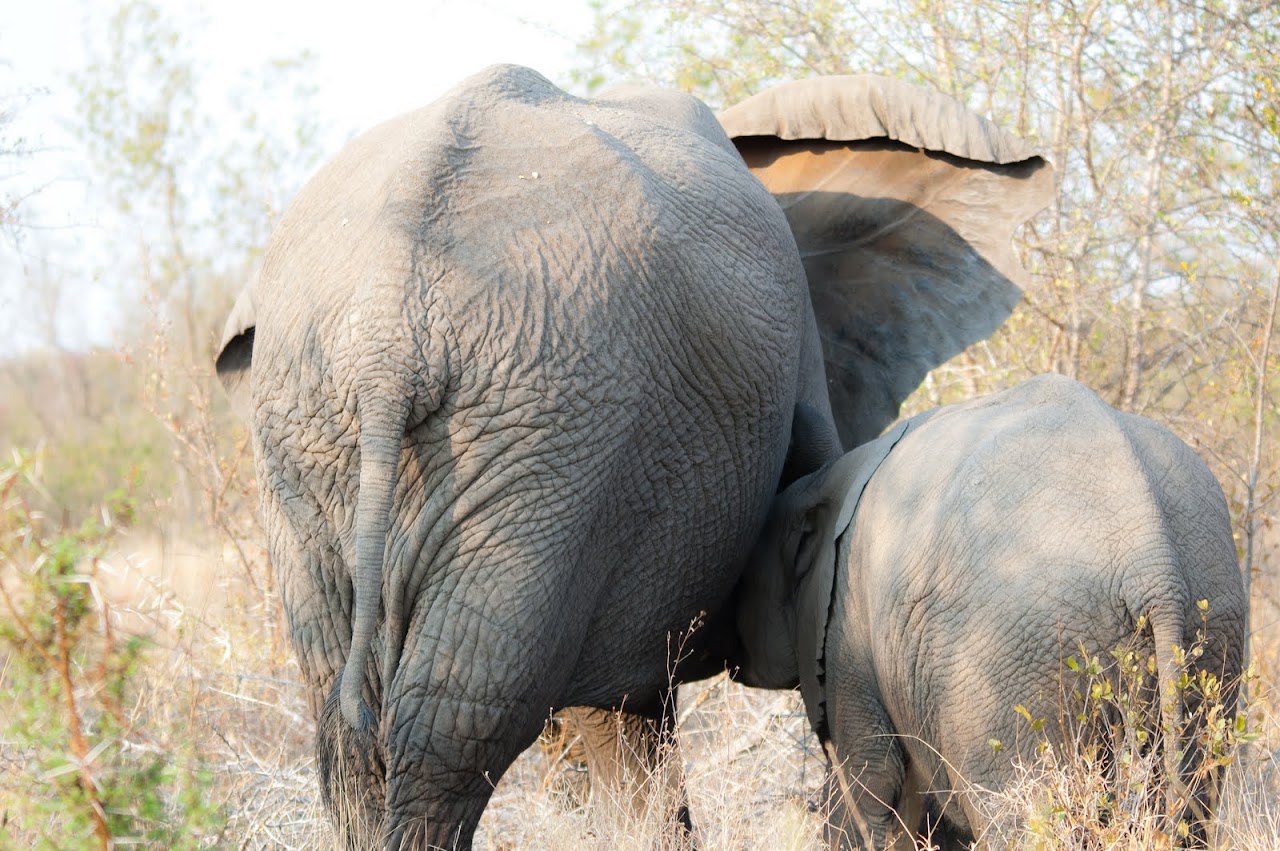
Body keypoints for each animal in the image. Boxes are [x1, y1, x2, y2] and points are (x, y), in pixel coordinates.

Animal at [732, 374, 1247, 849]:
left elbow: (871, 782)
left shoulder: (844, 625)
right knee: (1192, 792)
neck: (826, 481)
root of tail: (1151, 557)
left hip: (1009, 661)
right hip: (1212, 624)